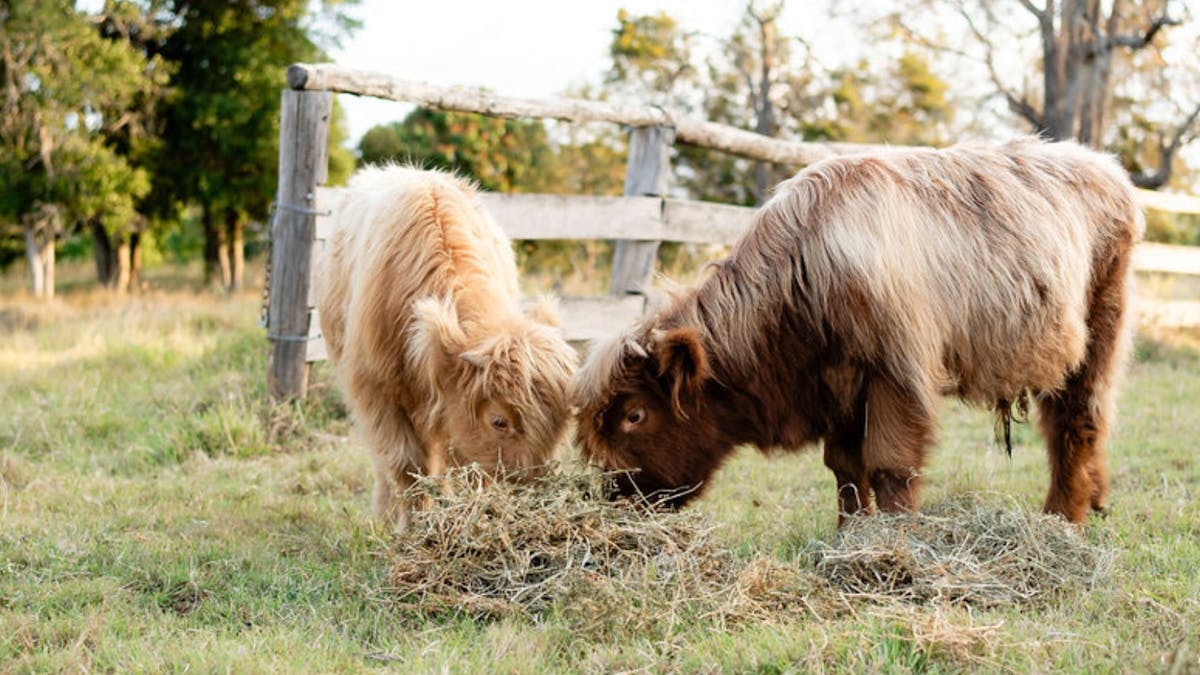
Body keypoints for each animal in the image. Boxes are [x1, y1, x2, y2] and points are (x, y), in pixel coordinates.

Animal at [316, 166, 577, 532]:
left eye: (561, 423)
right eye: (499, 421)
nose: (525, 495)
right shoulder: (376, 393)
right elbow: (405, 464)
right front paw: (412, 528)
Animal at [572, 138, 1142, 526]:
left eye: (635, 415)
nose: (616, 497)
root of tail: (1103, 167)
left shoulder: (896, 374)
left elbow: (889, 465)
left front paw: (893, 544)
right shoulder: (837, 383)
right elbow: (844, 466)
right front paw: (850, 532)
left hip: (1098, 334)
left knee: (1077, 423)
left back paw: (1062, 519)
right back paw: (1094, 498)